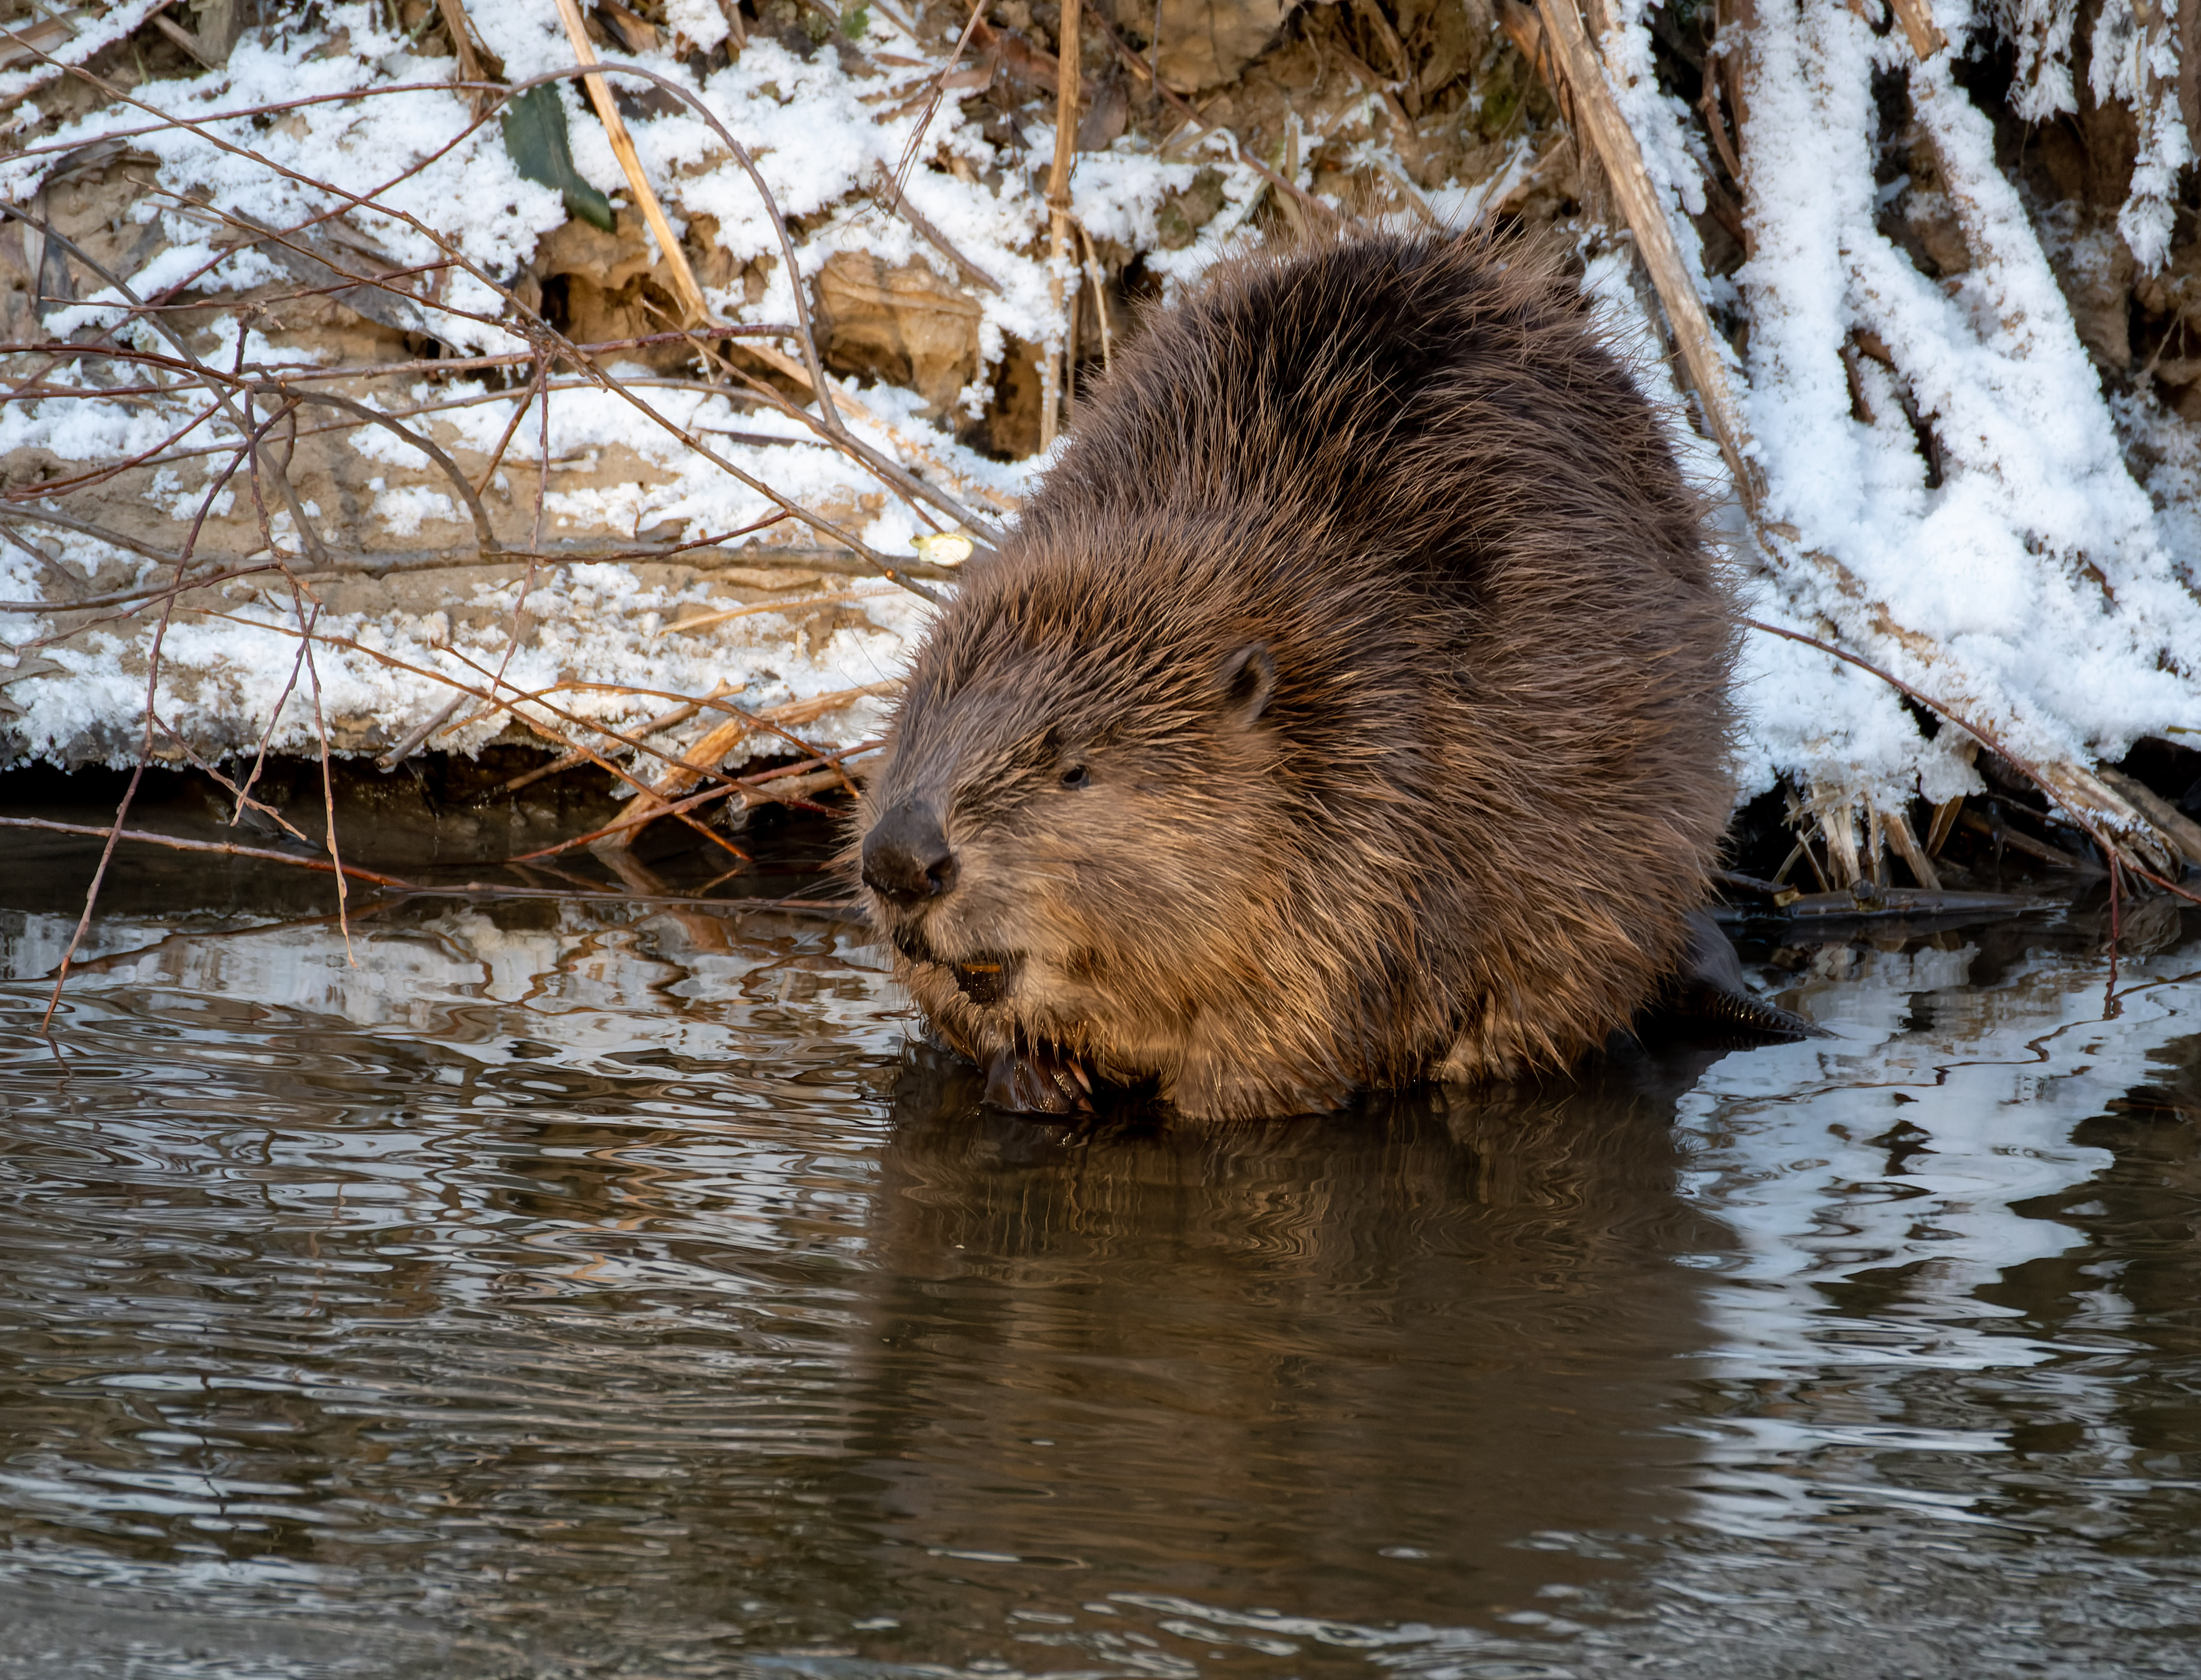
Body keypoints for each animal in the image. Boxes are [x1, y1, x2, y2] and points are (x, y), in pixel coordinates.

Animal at [854, 223, 1769, 1118]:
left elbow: (1292, 1044)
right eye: (916, 737)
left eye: (1075, 770)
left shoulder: (1377, 820)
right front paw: (1038, 1077)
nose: (901, 858)